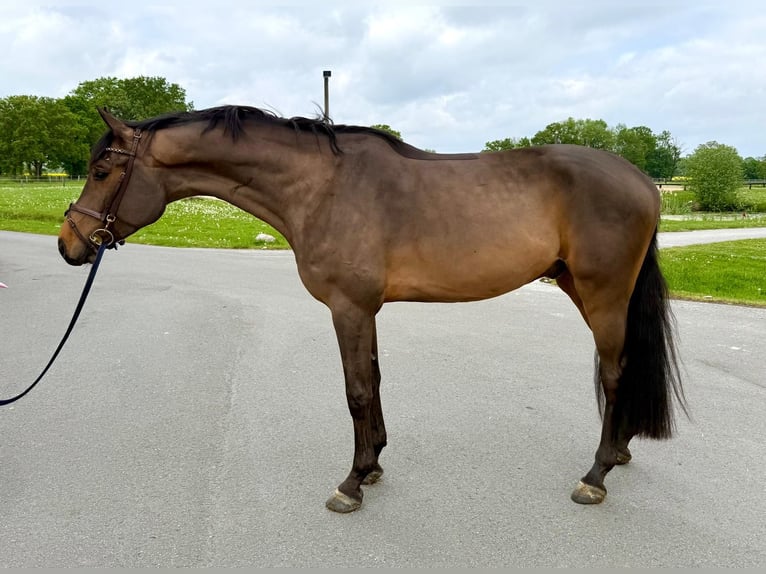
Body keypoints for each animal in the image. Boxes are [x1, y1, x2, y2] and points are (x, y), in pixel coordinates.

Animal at [58, 105, 686, 513]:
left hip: (603, 293)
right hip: (579, 287)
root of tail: (643, 182)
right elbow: (375, 382)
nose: (69, 243)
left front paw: (352, 483)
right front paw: (376, 465)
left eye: (103, 171)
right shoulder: (366, 310)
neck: (322, 187)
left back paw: (596, 475)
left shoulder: (349, 308)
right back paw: (620, 452)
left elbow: (356, 389)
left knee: (614, 372)